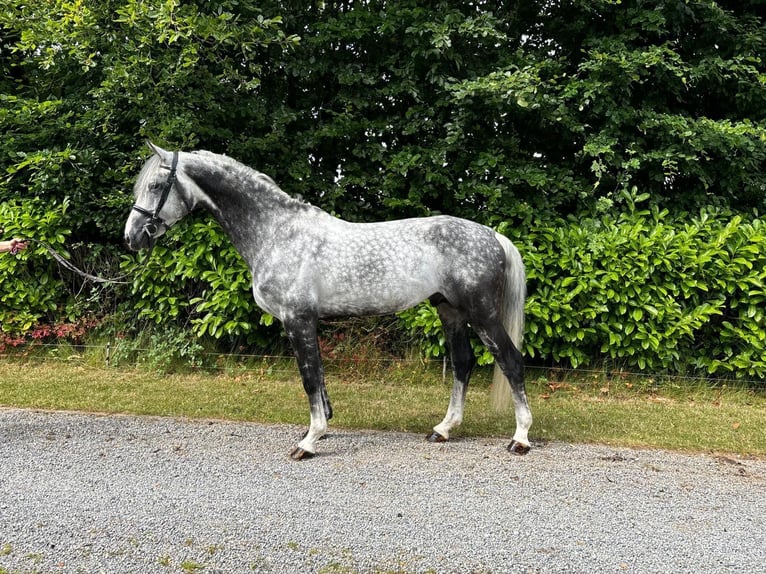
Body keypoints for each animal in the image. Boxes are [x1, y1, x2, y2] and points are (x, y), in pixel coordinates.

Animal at [126, 144, 536, 464]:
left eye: (156, 185)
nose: (132, 237)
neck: (278, 233)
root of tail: (492, 235)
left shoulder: (297, 319)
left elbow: (309, 377)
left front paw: (308, 442)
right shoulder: (307, 321)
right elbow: (319, 376)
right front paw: (322, 428)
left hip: (481, 313)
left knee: (510, 361)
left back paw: (520, 438)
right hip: (449, 310)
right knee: (463, 363)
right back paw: (444, 429)